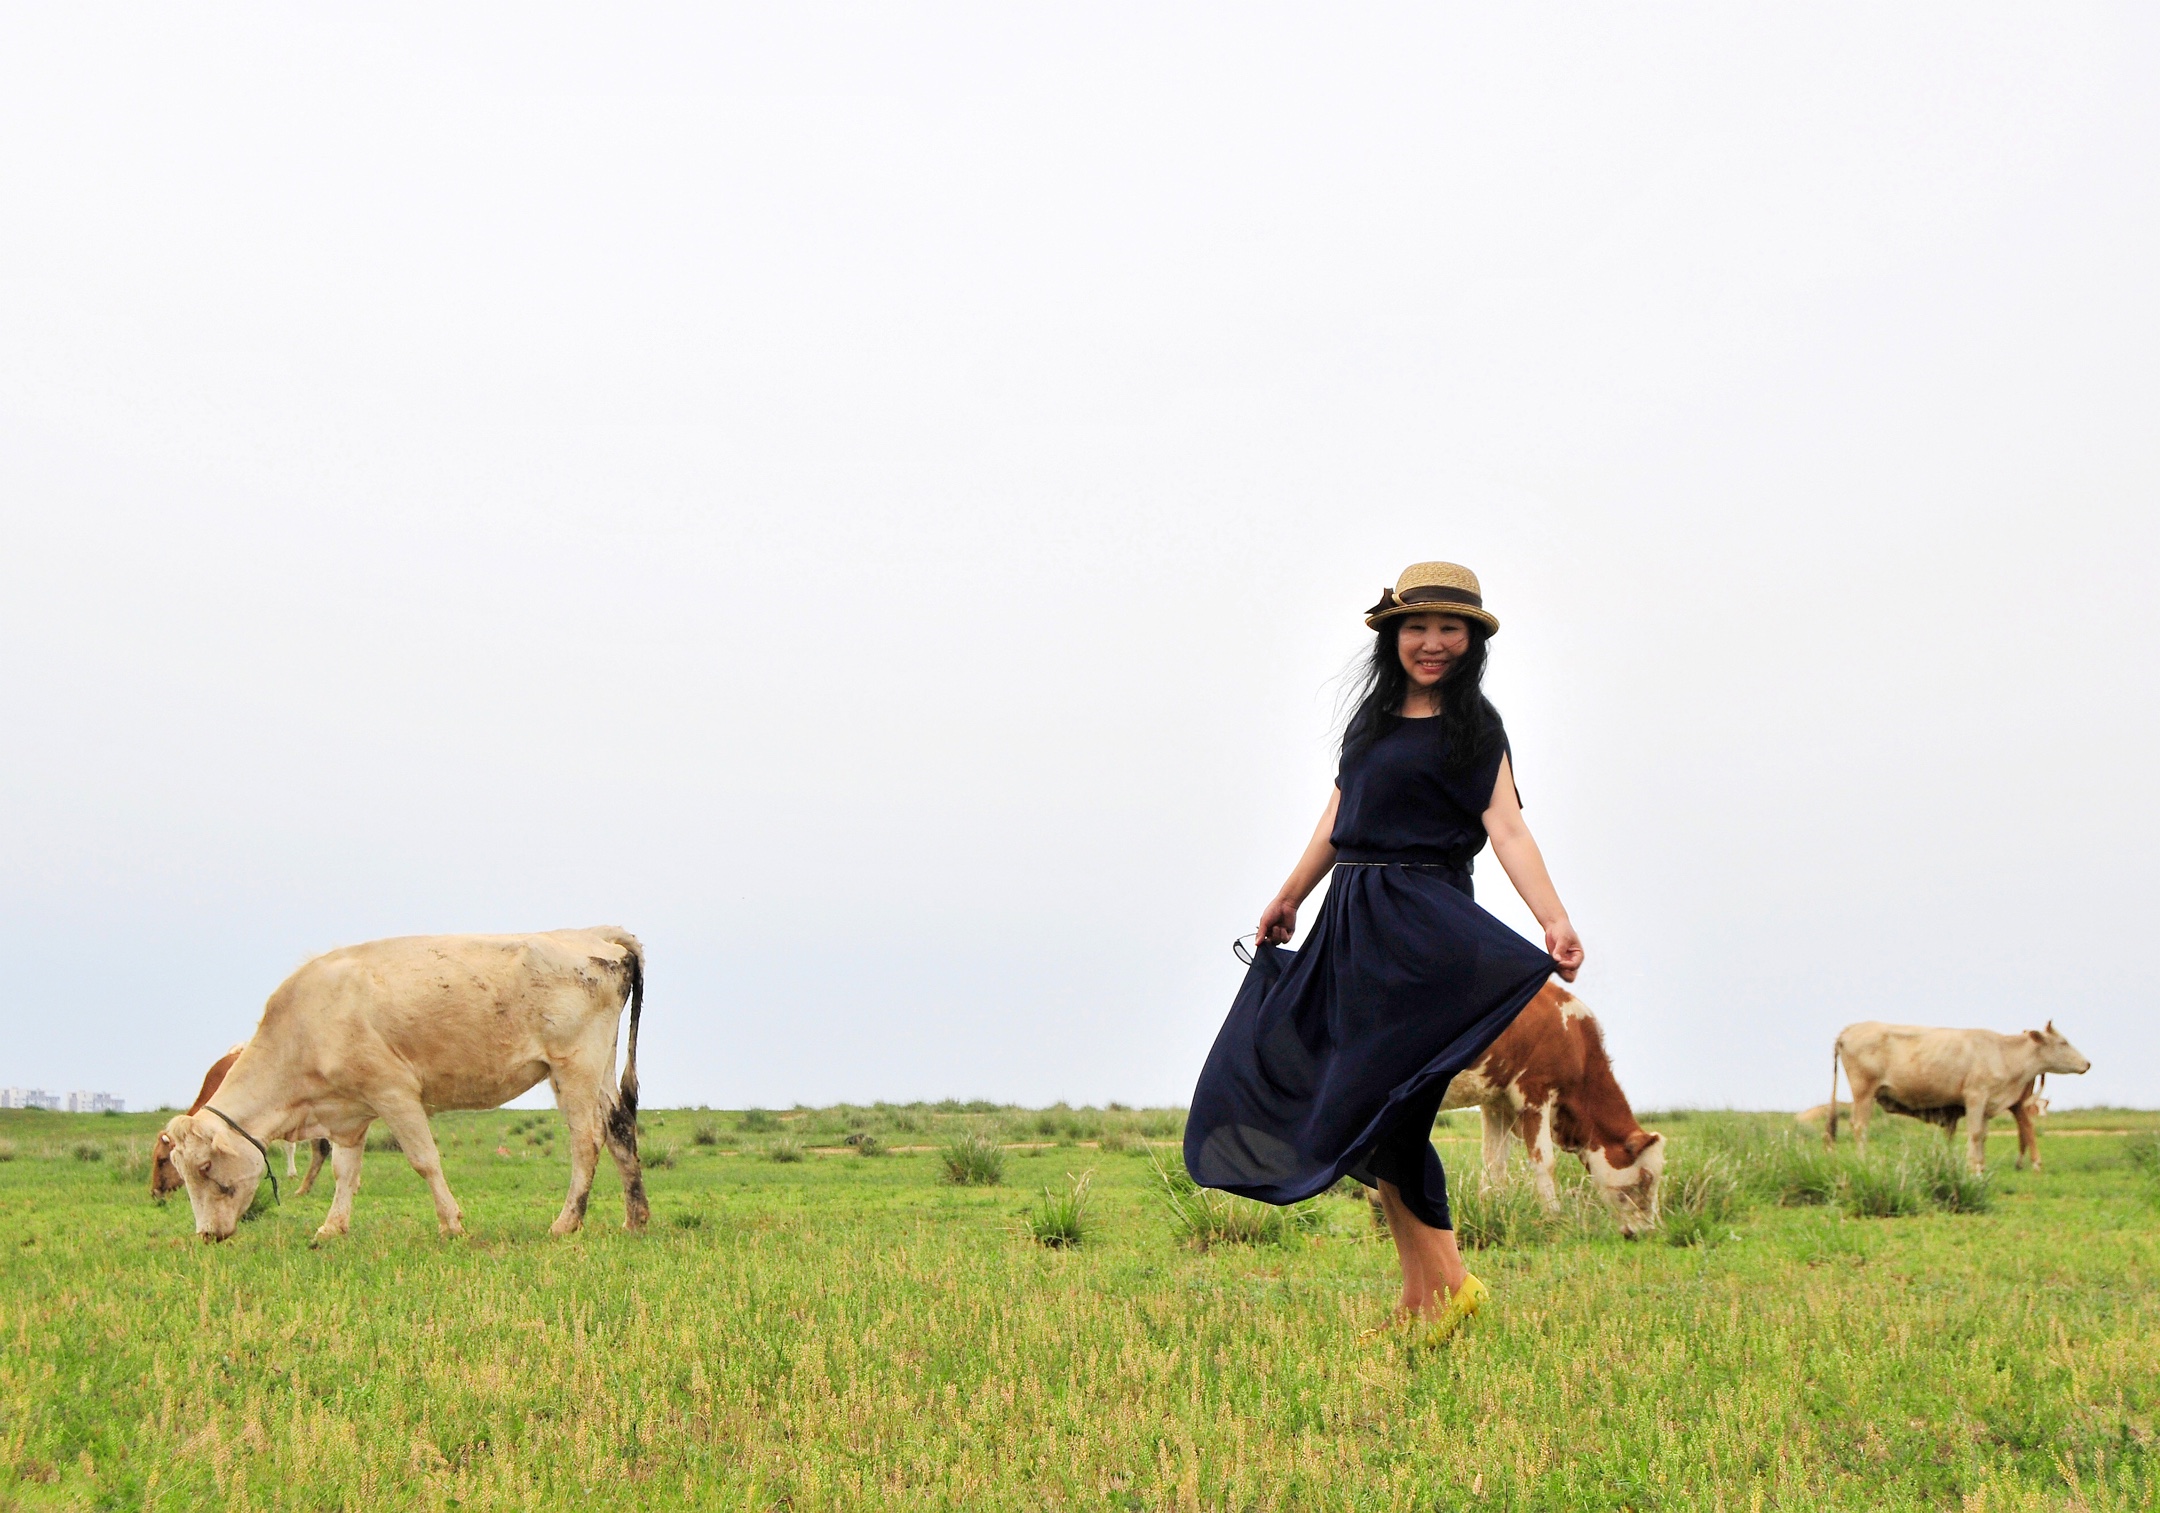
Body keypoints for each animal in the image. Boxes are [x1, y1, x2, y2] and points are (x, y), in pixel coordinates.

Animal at [1434, 981, 1667, 1244]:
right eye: (1646, 1178)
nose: (1647, 1232)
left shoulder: (1496, 1102)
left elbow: (1495, 1164)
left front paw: (1489, 1212)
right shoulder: (1534, 1092)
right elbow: (1544, 1162)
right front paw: (1553, 1218)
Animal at [1823, 1024, 2090, 1175]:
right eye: (2063, 1042)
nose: (2087, 1063)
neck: (2003, 1053)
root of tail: (1850, 1029)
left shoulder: (1987, 1104)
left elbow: (1983, 1135)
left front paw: (1980, 1166)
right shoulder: (1975, 1097)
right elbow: (1974, 1134)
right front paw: (1974, 1169)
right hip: (1864, 1092)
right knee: (1860, 1127)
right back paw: (1863, 1161)